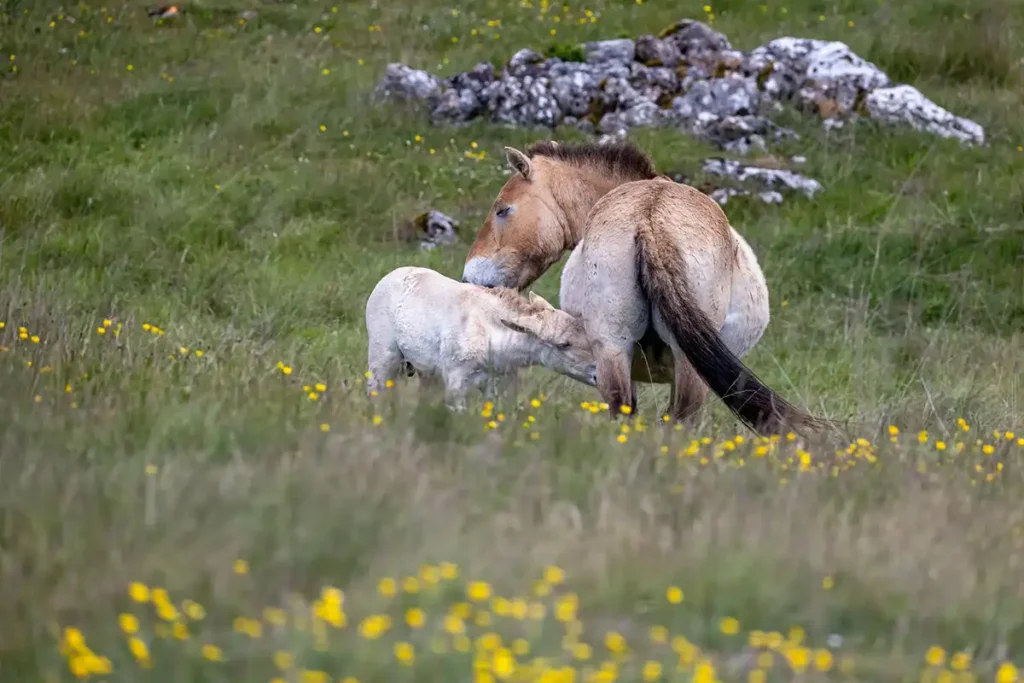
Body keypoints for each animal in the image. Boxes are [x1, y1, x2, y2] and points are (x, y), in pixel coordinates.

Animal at [365, 266, 598, 410]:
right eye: (563, 344)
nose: (598, 374)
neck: (489, 334)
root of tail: (390, 276)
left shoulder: (502, 385)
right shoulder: (457, 383)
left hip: (426, 371)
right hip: (382, 356)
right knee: (375, 389)